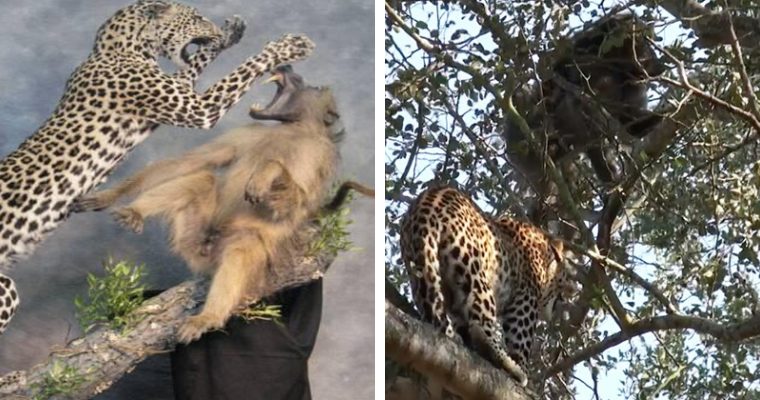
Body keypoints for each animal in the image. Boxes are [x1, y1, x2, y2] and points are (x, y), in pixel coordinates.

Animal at [0, 0, 314, 336]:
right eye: (197, 17)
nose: (215, 29)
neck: (119, 47)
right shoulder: (199, 109)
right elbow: (245, 68)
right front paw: (288, 46)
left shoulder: (181, 89)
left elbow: (194, 64)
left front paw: (229, 34)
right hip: (7, 290)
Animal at [400, 186, 572, 386]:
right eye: (565, 277)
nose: (568, 295)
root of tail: (424, 210)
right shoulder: (525, 299)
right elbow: (521, 339)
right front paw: (522, 368)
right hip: (474, 271)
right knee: (481, 326)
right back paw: (510, 366)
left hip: (421, 273)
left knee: (434, 310)